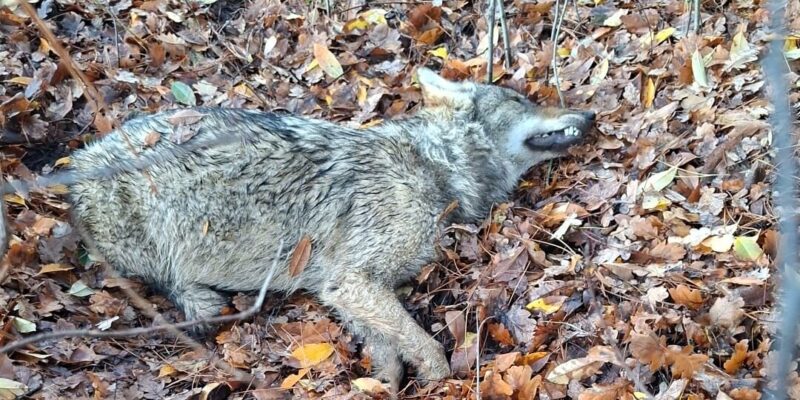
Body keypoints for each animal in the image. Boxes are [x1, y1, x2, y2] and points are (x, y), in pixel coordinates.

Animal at [0, 68, 594, 392]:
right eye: (522, 102)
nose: (589, 116)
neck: (434, 165)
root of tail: (74, 171)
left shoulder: (344, 287)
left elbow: (386, 348)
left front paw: (382, 385)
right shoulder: (355, 281)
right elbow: (426, 345)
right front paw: (434, 377)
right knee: (162, 284)